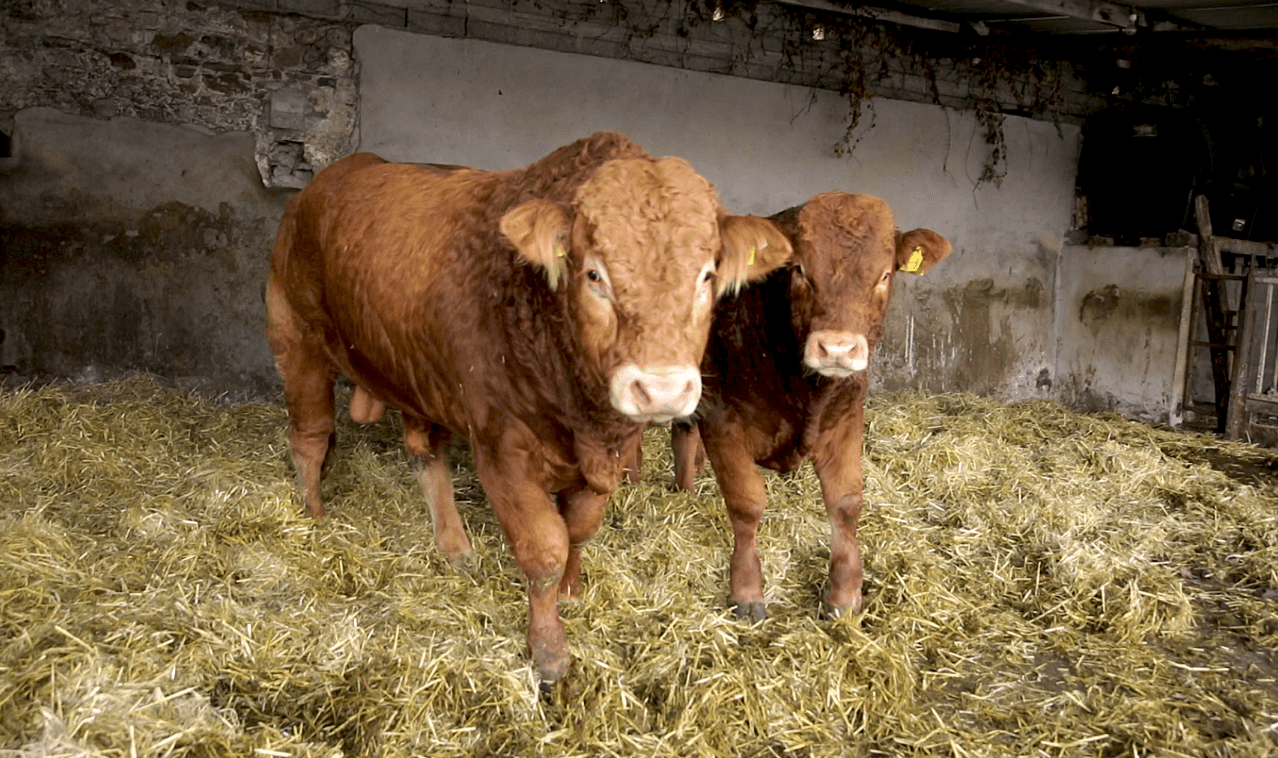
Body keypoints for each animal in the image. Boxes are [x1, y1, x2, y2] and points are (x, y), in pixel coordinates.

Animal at [264, 132, 792, 683]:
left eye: (707, 276)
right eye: (594, 275)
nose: (662, 389)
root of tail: (337, 173)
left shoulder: (606, 454)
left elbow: (578, 529)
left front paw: (571, 590)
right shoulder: (503, 450)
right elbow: (543, 550)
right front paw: (549, 651)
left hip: (418, 374)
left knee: (425, 452)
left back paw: (454, 547)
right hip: (295, 337)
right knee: (309, 438)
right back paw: (314, 519)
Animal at [661, 191, 950, 622]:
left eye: (884, 275)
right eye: (799, 270)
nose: (837, 348)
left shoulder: (847, 418)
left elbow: (845, 503)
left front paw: (844, 594)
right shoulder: (722, 419)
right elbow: (747, 503)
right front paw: (746, 590)